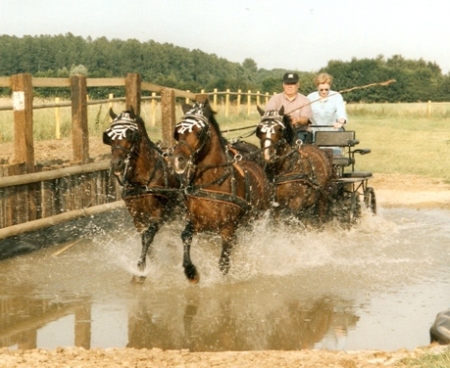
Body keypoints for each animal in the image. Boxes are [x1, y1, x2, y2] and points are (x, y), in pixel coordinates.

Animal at [103, 108, 182, 280]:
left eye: (130, 134)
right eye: (109, 136)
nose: (116, 164)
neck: (142, 182)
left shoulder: (159, 214)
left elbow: (148, 238)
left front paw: (141, 267)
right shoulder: (137, 217)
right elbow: (145, 239)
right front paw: (151, 262)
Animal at [168, 99, 268, 284]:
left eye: (199, 132)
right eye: (177, 132)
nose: (177, 161)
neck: (212, 184)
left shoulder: (228, 229)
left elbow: (223, 263)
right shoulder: (197, 221)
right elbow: (185, 236)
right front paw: (191, 272)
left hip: (254, 220)